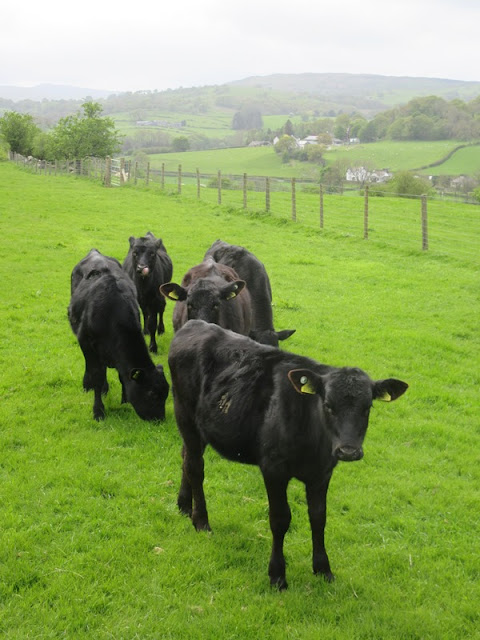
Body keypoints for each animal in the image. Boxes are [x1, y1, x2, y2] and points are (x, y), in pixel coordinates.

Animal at [68, 249, 170, 420]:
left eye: (166, 394)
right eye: (151, 394)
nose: (159, 419)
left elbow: (122, 376)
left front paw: (125, 400)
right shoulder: (86, 342)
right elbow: (96, 374)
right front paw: (98, 411)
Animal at [169, 320, 408, 592]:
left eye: (367, 407)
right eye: (327, 405)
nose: (348, 450)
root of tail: (194, 324)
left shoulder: (322, 473)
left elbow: (319, 517)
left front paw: (323, 568)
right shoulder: (273, 469)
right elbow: (280, 518)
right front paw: (277, 574)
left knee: (185, 458)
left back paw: (184, 505)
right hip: (185, 416)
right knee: (195, 467)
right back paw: (201, 521)